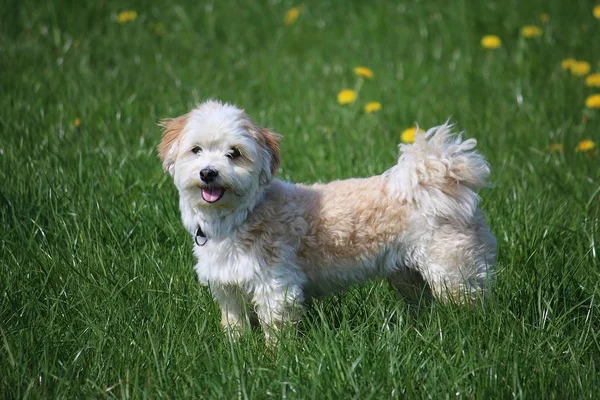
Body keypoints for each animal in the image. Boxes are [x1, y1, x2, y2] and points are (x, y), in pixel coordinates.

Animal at [158, 100, 496, 344]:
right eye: (196, 150)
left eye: (234, 153)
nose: (208, 172)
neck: (241, 216)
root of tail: (437, 180)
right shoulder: (227, 289)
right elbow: (234, 326)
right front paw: (235, 353)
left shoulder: (276, 286)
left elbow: (277, 331)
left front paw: (275, 362)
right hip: (408, 276)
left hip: (452, 270)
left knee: (469, 302)